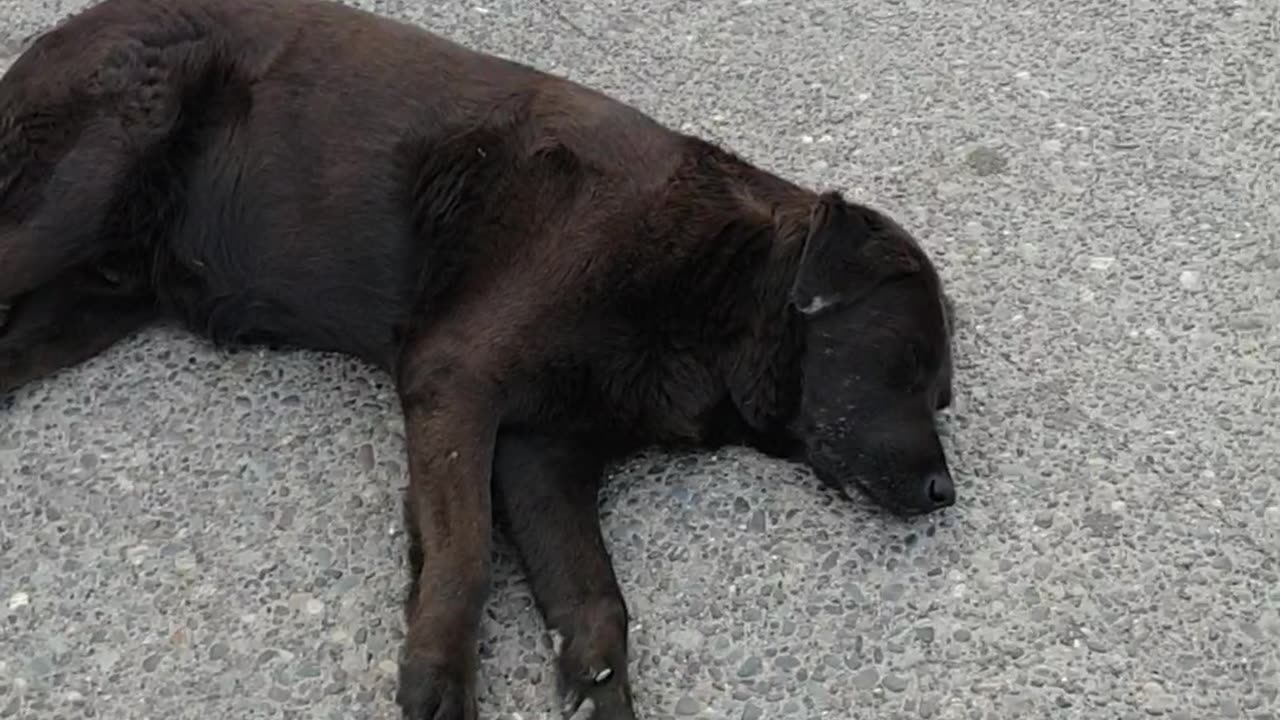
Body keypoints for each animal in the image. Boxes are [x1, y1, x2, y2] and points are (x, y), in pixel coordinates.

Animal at [0, 1, 962, 717]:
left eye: (942, 395)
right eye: (909, 362)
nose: (945, 492)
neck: (706, 282)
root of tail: (59, 32)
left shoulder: (542, 454)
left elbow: (596, 606)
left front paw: (597, 696)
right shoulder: (458, 382)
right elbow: (462, 556)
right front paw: (439, 681)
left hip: (93, 302)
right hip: (80, 192)